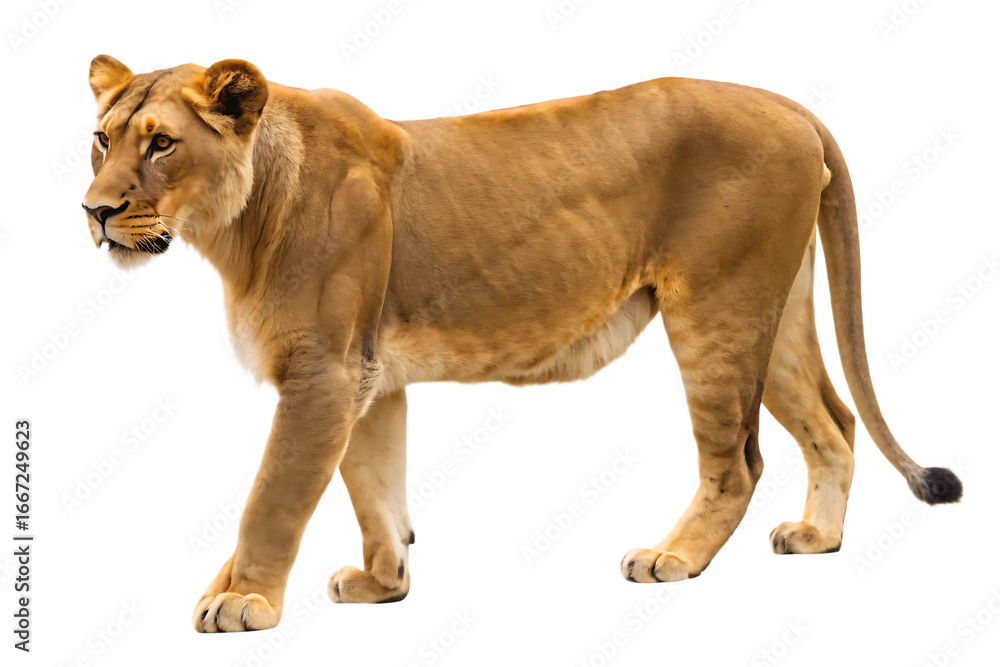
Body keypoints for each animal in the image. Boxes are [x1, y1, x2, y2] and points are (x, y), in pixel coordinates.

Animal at [82, 55, 962, 632]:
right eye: (101, 139)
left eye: (161, 143)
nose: (94, 210)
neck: (235, 223)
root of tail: (791, 104)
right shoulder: (369, 376)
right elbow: (374, 484)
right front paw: (383, 582)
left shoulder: (322, 371)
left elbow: (273, 495)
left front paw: (243, 599)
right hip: (774, 311)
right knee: (834, 423)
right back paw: (817, 537)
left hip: (717, 307)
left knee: (739, 461)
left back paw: (672, 556)